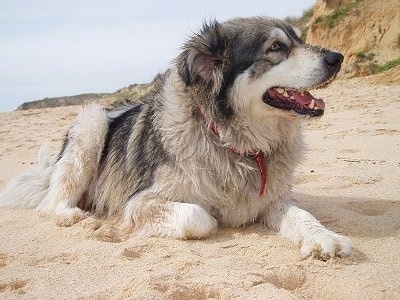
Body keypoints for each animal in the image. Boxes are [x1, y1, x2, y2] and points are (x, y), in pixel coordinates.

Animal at [0, 17, 350, 260]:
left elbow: (303, 215)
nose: (337, 57)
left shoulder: (274, 199)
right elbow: (201, 216)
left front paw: (326, 238)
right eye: (276, 47)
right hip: (91, 125)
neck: (233, 143)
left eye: (299, 39)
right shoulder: (140, 202)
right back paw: (74, 215)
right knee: (49, 204)